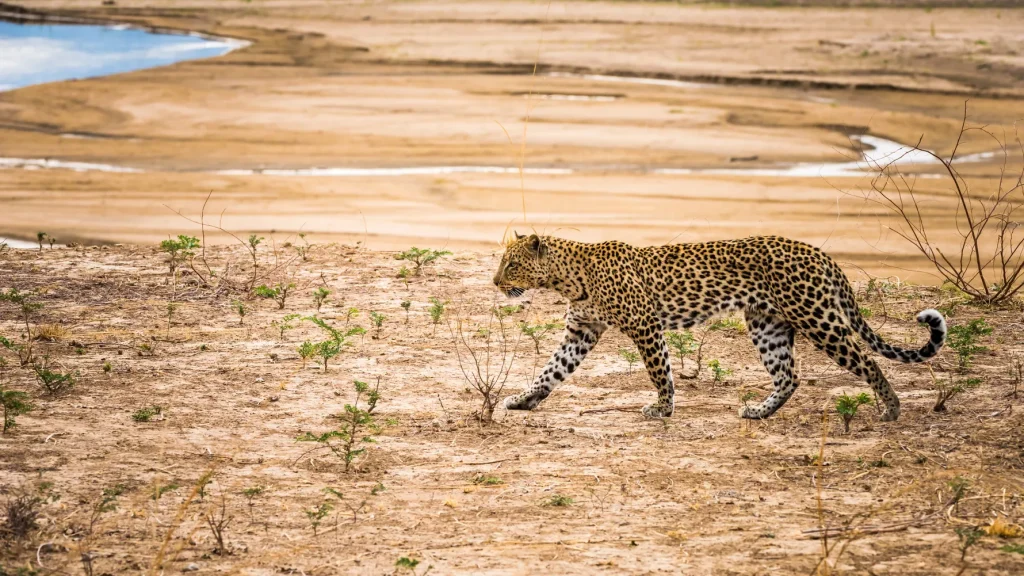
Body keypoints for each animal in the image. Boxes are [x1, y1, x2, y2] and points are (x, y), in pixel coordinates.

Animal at [493, 233, 946, 421]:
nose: (495, 282)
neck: (569, 277)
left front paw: (662, 408)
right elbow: (551, 370)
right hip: (767, 325)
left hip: (817, 319)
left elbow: (660, 371)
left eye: (511, 263)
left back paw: (891, 409)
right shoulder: (581, 331)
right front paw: (524, 399)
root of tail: (819, 253)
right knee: (789, 376)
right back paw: (759, 412)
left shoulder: (645, 325)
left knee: (867, 362)